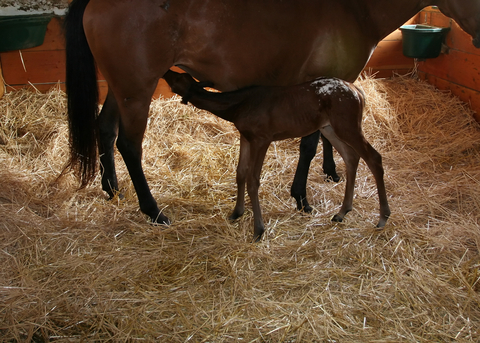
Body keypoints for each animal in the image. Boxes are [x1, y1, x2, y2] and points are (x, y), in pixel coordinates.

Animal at [164, 70, 390, 242]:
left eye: (178, 77)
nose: (166, 71)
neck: (237, 108)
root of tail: (359, 93)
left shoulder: (262, 138)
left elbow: (253, 180)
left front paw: (258, 230)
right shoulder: (246, 137)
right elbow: (240, 173)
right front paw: (236, 212)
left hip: (347, 124)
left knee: (374, 157)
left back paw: (382, 217)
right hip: (329, 127)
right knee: (351, 157)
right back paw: (342, 212)